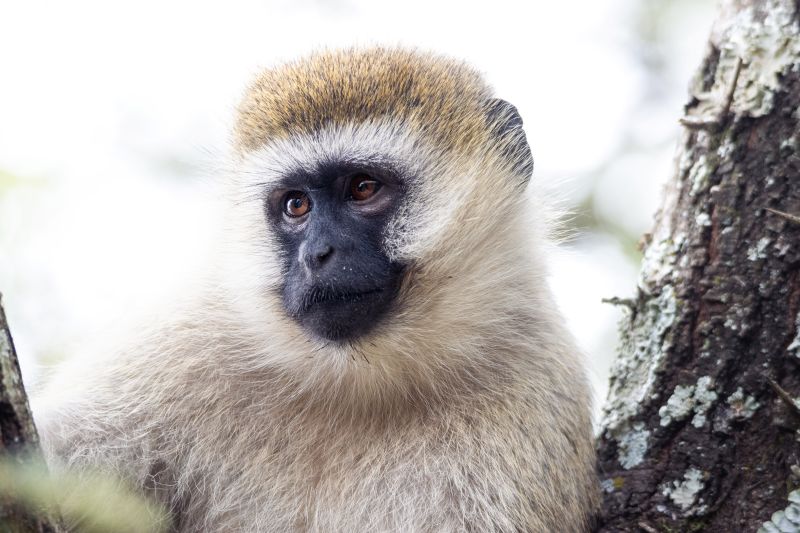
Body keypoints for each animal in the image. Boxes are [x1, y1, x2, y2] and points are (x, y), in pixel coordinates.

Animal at [33, 47, 599, 532]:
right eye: (296, 205)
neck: (351, 384)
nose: (316, 256)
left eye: (363, 188)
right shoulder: (179, 338)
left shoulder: (534, 385)